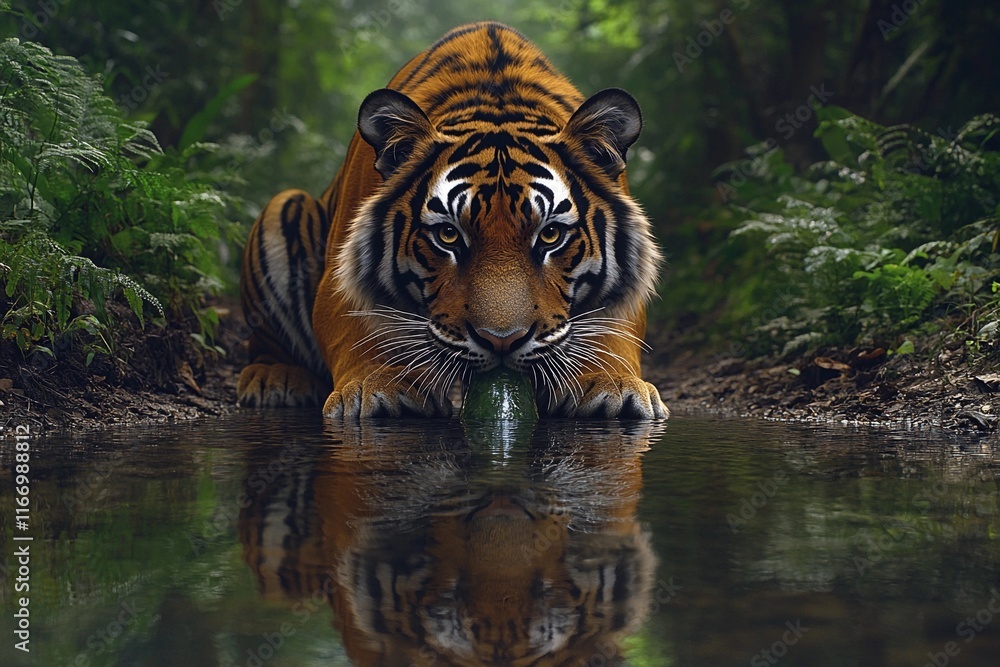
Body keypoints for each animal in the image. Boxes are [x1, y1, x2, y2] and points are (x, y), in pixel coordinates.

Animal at [237, 21, 668, 419]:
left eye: (550, 236)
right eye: (447, 235)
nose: (501, 341)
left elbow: (613, 331)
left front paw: (612, 386)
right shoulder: (341, 277)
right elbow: (359, 330)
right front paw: (383, 386)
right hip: (284, 205)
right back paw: (275, 378)